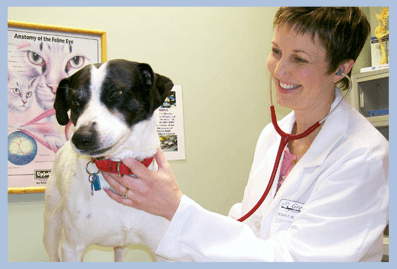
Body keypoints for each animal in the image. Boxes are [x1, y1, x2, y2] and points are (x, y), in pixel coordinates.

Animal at [42, 58, 174, 260]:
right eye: (74, 101)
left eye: (116, 93)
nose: (81, 138)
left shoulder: (162, 252)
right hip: (51, 226)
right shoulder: (72, 248)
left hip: (122, 247)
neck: (118, 165)